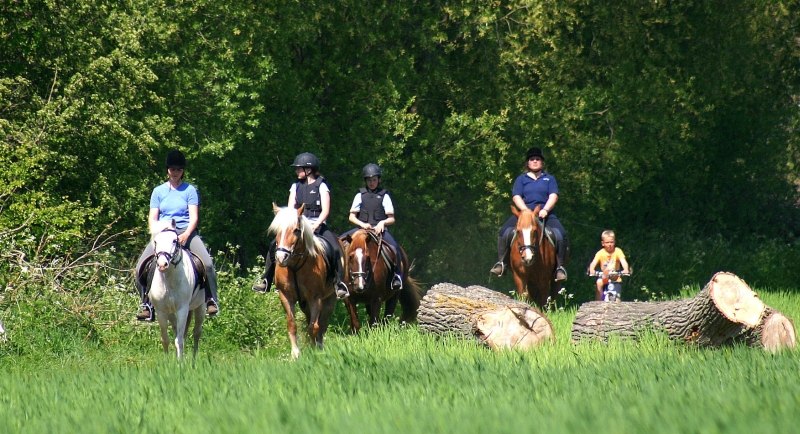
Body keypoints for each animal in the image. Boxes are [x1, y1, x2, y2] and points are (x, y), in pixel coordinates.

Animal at [149, 220, 206, 360]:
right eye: (156, 241)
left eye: (174, 240)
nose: (162, 265)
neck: (169, 281)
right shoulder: (161, 311)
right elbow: (165, 339)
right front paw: (167, 362)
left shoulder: (182, 310)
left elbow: (179, 340)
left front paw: (180, 363)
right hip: (171, 313)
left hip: (200, 308)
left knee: (196, 333)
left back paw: (193, 360)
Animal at [266, 203, 334, 360]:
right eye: (277, 231)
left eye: (296, 230)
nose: (281, 257)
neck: (295, 266)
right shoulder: (286, 296)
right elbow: (292, 324)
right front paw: (295, 353)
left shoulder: (315, 298)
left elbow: (314, 326)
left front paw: (314, 350)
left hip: (330, 299)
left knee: (322, 323)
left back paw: (319, 345)